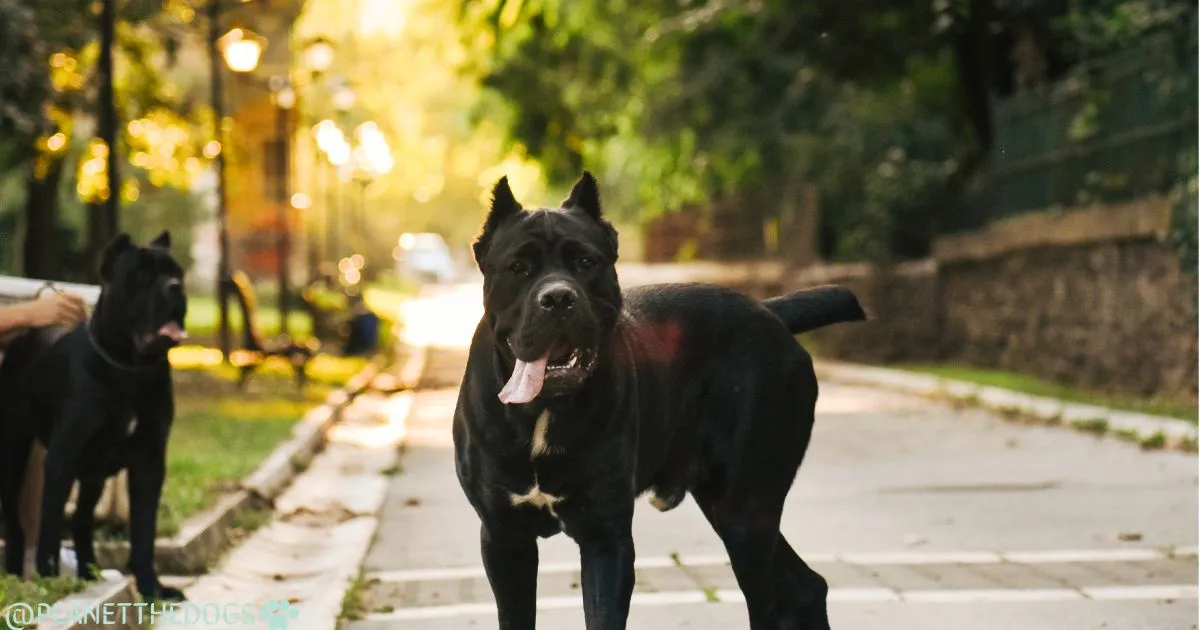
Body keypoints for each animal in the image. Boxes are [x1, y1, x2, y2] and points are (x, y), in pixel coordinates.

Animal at [0, 230, 187, 600]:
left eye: (177, 273)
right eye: (141, 275)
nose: (175, 287)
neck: (129, 368)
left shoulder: (149, 461)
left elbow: (144, 531)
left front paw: (152, 588)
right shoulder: (62, 457)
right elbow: (50, 525)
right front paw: (49, 578)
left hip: (94, 474)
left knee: (82, 520)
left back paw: (88, 573)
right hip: (14, 452)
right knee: (16, 522)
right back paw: (17, 573)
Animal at [453, 172, 868, 628]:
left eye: (586, 263)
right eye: (518, 268)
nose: (558, 297)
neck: (545, 410)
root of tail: (770, 312)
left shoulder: (606, 536)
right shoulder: (504, 539)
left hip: (746, 508)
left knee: (771, 600)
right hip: (727, 502)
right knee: (805, 587)